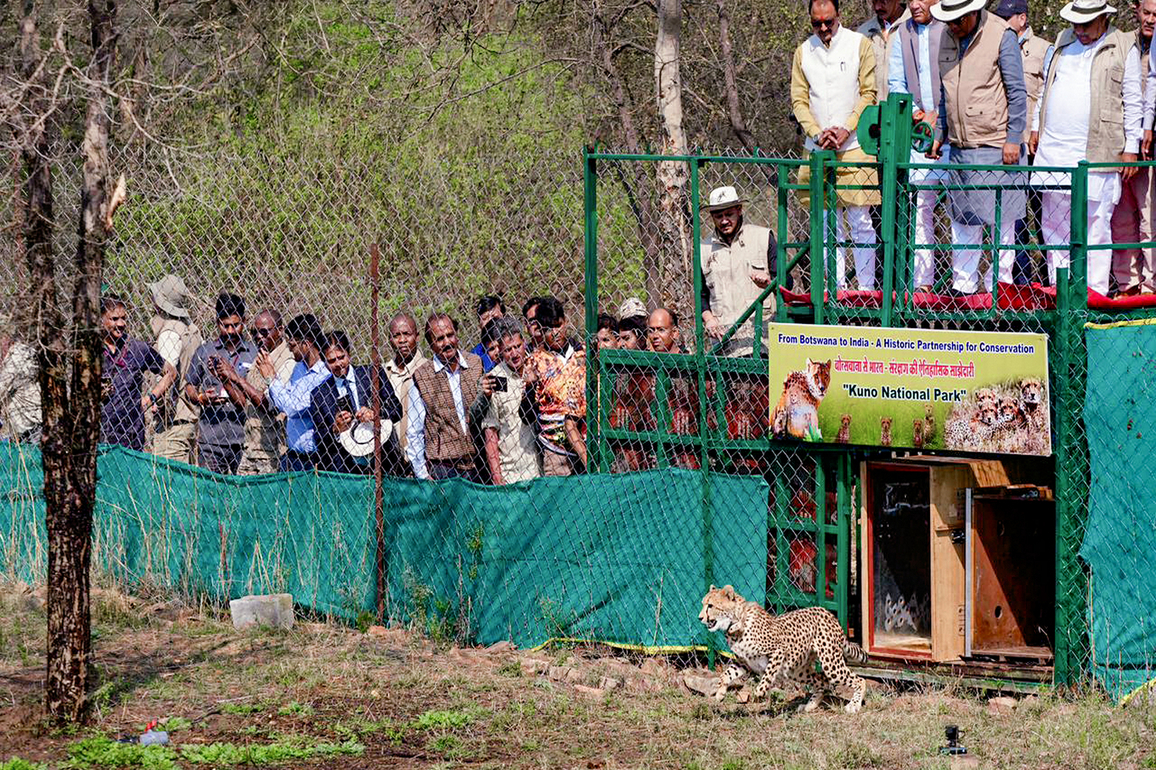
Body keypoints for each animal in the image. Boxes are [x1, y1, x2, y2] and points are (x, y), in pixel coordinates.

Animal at [698, 584, 868, 713]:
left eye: (710, 606)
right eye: (703, 604)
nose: (700, 618)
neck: (734, 625)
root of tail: (828, 613)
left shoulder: (779, 650)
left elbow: (767, 675)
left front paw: (759, 693)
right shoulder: (744, 662)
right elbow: (726, 675)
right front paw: (720, 693)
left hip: (830, 663)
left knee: (860, 679)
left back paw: (854, 705)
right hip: (797, 671)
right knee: (822, 680)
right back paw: (810, 705)